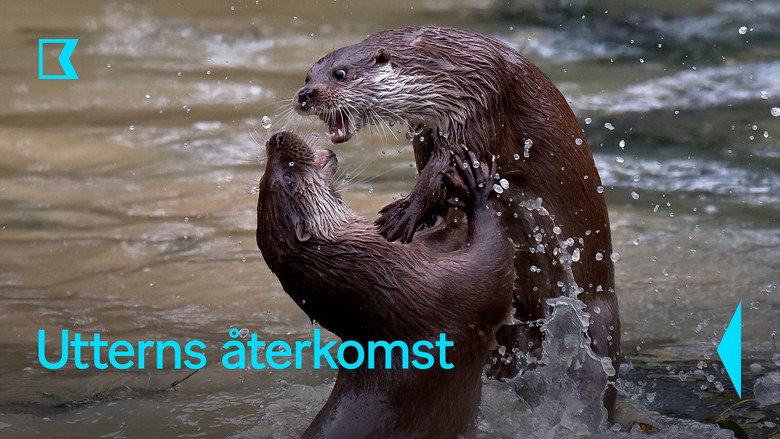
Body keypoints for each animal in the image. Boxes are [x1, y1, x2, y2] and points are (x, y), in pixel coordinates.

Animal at [255, 131, 513, 438]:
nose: (276, 138)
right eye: (288, 176)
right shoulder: (450, 292)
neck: (388, 281)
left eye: (263, 177)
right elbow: (494, 267)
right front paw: (476, 188)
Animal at [292, 26, 620, 412]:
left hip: (598, 320)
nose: (305, 95)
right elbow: (431, 168)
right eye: (308, 75)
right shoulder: (427, 128)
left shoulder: (482, 104)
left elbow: (442, 170)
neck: (452, 69)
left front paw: (405, 213)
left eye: (340, 74)